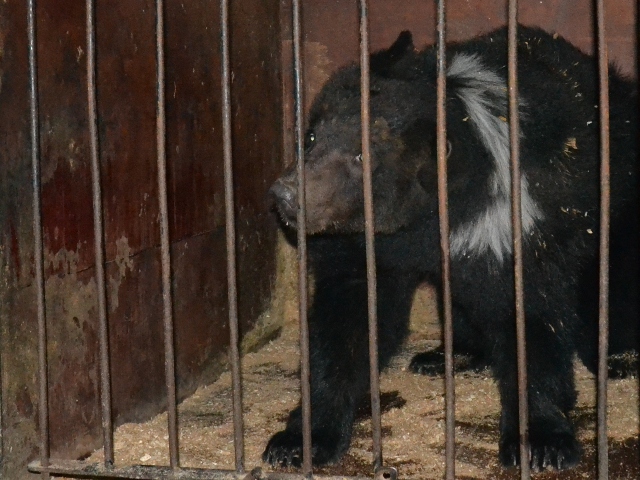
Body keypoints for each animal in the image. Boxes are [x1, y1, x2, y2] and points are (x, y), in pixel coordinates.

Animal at [262, 24, 636, 470]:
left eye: (361, 156)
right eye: (313, 135)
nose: (285, 195)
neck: (419, 223)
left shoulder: (506, 225)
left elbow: (530, 316)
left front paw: (541, 443)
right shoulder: (364, 247)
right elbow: (347, 322)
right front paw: (298, 440)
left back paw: (616, 357)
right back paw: (445, 356)